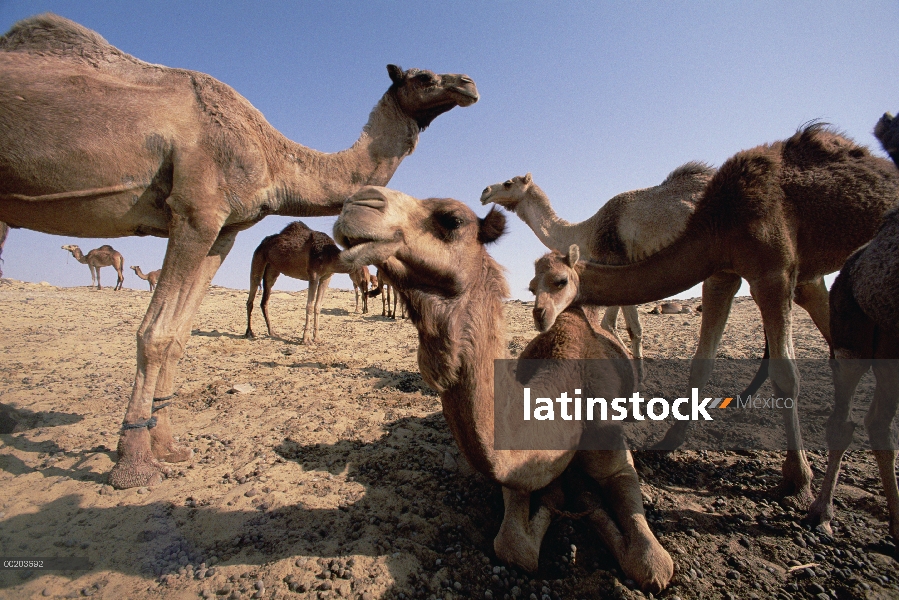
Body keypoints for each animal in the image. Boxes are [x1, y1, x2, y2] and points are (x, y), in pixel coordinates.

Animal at [338, 189, 676, 596]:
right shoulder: (520, 463)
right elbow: (513, 545)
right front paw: (566, 494)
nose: (354, 204)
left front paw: (585, 498)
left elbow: (652, 564)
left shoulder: (615, 457)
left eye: (452, 219)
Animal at [516, 125, 899, 502]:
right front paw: (668, 439)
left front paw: (798, 477)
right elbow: (700, 360)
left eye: (559, 281)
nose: (540, 316)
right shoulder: (723, 271)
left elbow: (785, 373)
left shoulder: (770, 270)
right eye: (531, 287)